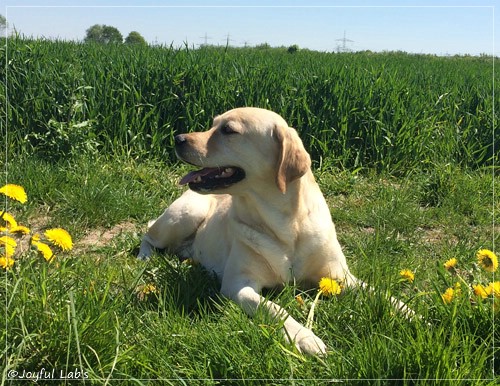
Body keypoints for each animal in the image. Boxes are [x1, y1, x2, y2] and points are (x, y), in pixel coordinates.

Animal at [137, 107, 406, 354]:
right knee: (148, 233)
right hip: (187, 213)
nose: (178, 138)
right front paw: (304, 337)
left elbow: (379, 293)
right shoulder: (237, 284)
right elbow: (274, 308)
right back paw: (145, 257)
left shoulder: (340, 276)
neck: (286, 226)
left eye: (228, 130)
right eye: (213, 124)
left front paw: (410, 312)